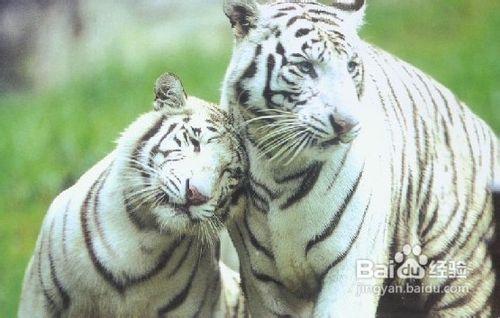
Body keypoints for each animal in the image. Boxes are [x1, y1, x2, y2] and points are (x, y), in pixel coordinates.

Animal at [222, 0, 496, 316]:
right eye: (305, 67)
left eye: (351, 66)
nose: (346, 123)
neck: (282, 167)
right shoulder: (264, 282)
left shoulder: (350, 267)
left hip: (458, 280)